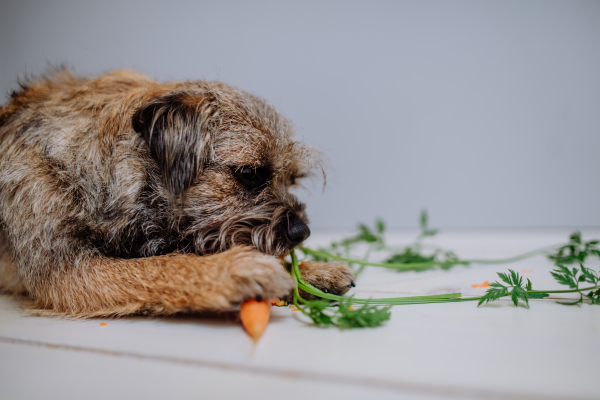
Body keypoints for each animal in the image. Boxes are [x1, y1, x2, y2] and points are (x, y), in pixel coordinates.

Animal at [0, 69, 356, 318]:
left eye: (292, 179)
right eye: (249, 174)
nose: (302, 232)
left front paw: (310, 271)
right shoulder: (67, 273)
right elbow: (156, 268)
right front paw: (234, 270)